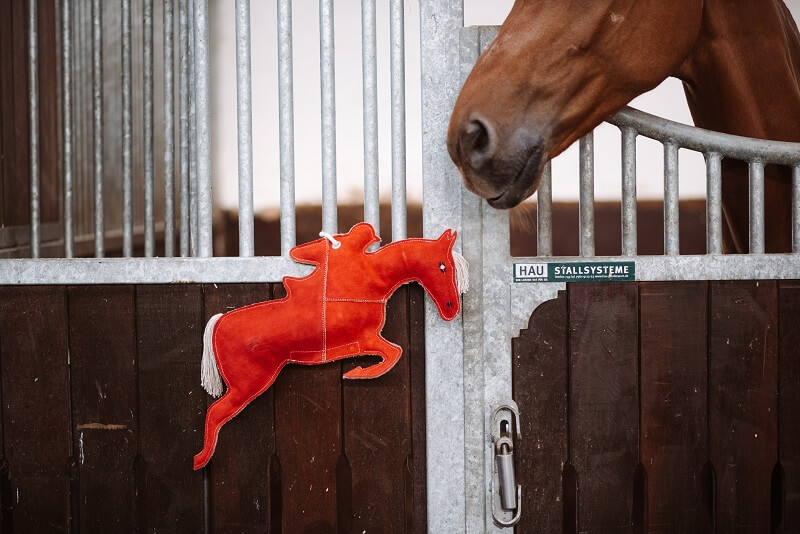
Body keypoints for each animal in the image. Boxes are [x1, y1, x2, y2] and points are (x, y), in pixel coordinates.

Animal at [195, 224, 468, 472]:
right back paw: (200, 460)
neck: (373, 279)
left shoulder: (365, 340)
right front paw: (357, 373)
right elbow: (395, 353)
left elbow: (393, 352)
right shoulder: (366, 338)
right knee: (214, 412)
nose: (452, 307)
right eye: (443, 266)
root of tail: (218, 321)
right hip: (248, 384)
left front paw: (358, 372)